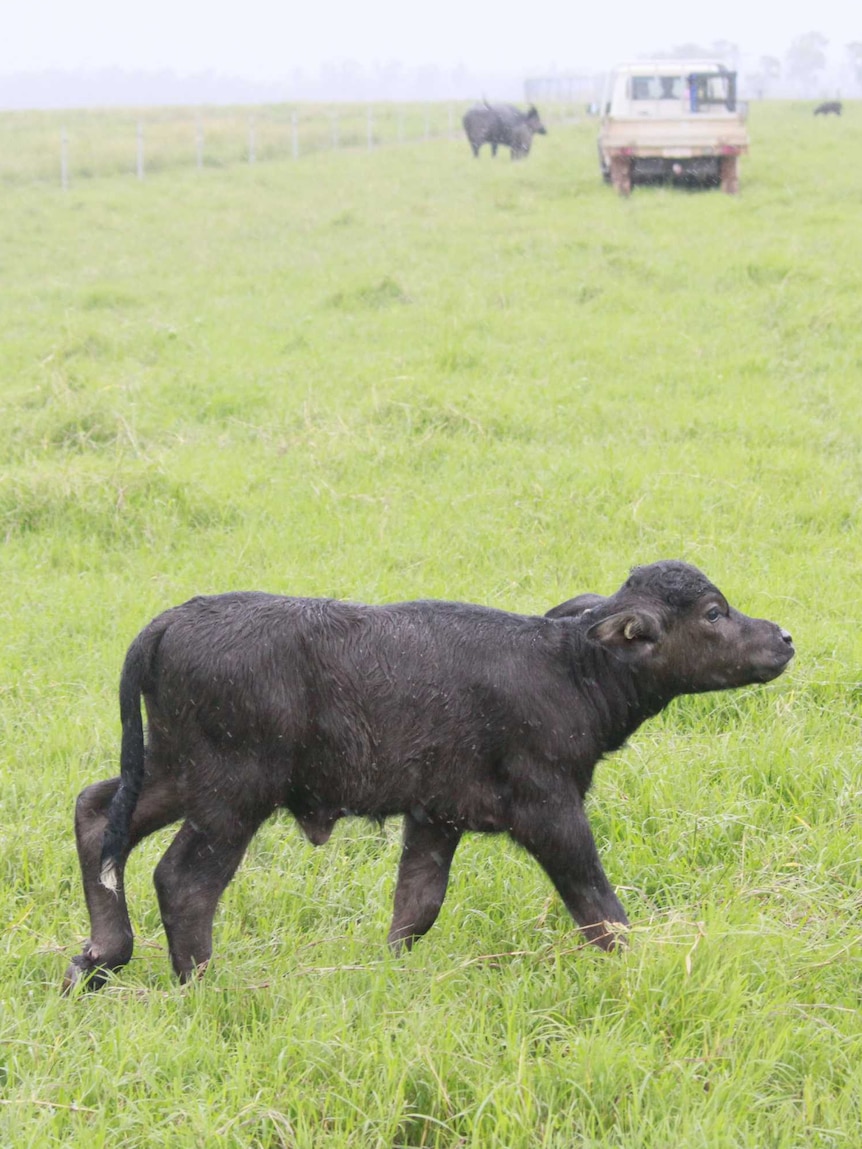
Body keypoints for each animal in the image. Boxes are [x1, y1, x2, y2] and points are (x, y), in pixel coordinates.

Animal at [65, 558, 795, 988]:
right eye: (714, 613)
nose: (784, 637)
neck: (568, 668)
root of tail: (172, 619)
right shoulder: (551, 808)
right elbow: (598, 904)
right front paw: (637, 968)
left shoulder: (436, 814)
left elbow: (416, 905)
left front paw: (388, 974)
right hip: (230, 792)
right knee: (184, 880)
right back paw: (202, 984)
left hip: (170, 769)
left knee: (97, 814)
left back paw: (98, 959)